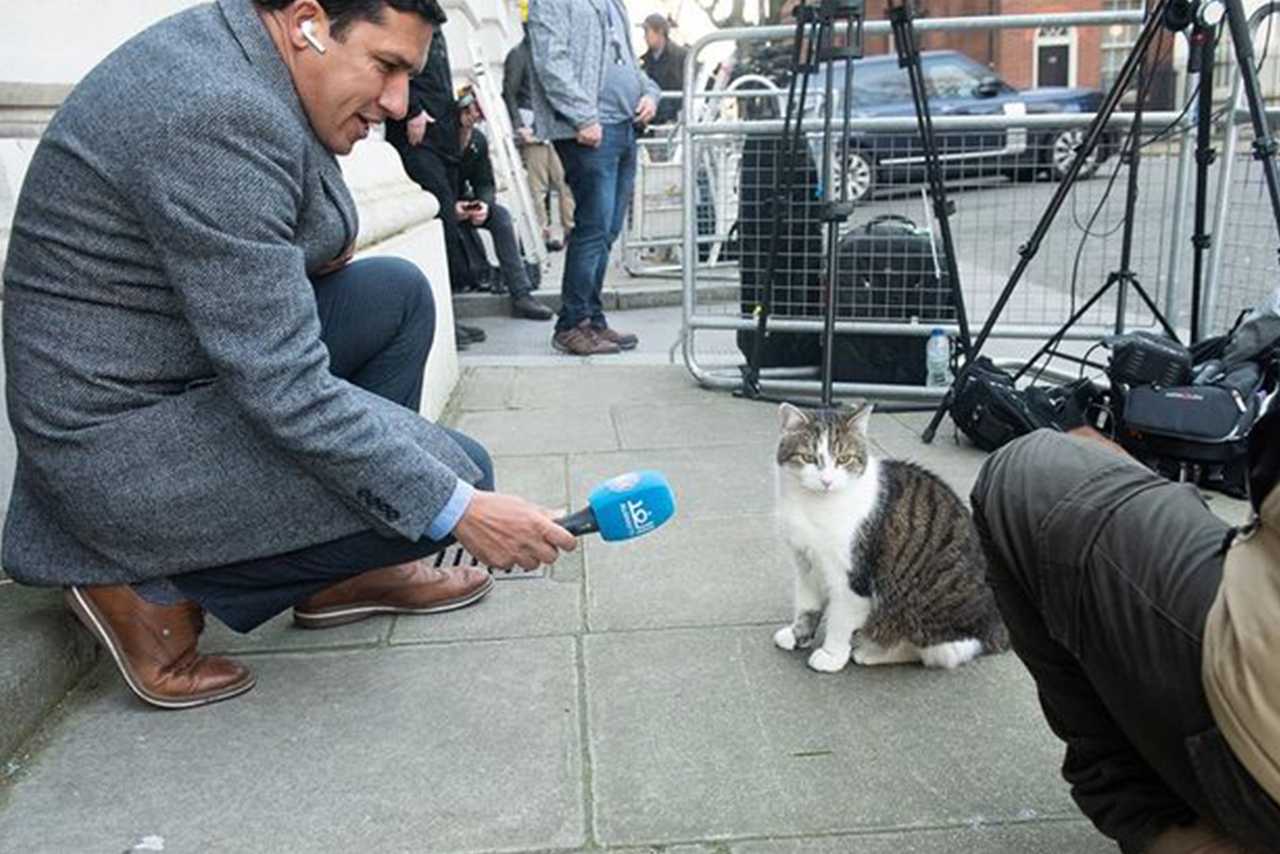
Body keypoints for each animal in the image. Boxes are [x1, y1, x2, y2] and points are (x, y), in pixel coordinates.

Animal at [768, 402, 1008, 676]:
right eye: (808, 458)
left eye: (844, 459)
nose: (826, 481)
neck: (814, 506)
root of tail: (995, 627)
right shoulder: (806, 565)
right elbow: (807, 605)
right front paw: (798, 635)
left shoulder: (852, 578)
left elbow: (840, 620)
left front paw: (832, 655)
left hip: (925, 616)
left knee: (936, 652)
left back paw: (871, 652)